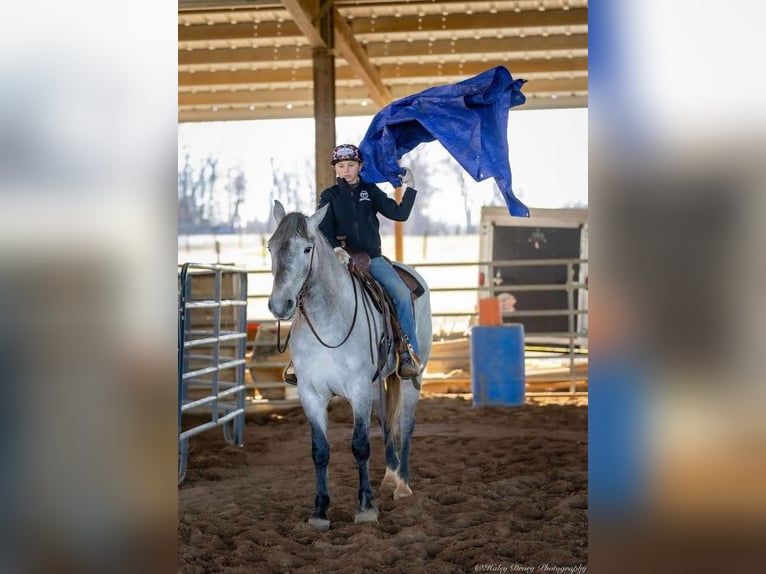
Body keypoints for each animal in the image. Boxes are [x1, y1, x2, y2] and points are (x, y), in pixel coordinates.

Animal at [268, 201, 432, 532]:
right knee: (386, 422)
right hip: (378, 385)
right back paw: (390, 476)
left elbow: (360, 446)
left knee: (406, 424)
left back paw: (403, 485)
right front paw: (320, 511)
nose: (280, 305)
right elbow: (320, 450)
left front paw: (366, 507)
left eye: (307, 249)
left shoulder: (358, 390)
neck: (329, 321)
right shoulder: (311, 394)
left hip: (410, 379)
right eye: (270, 247)